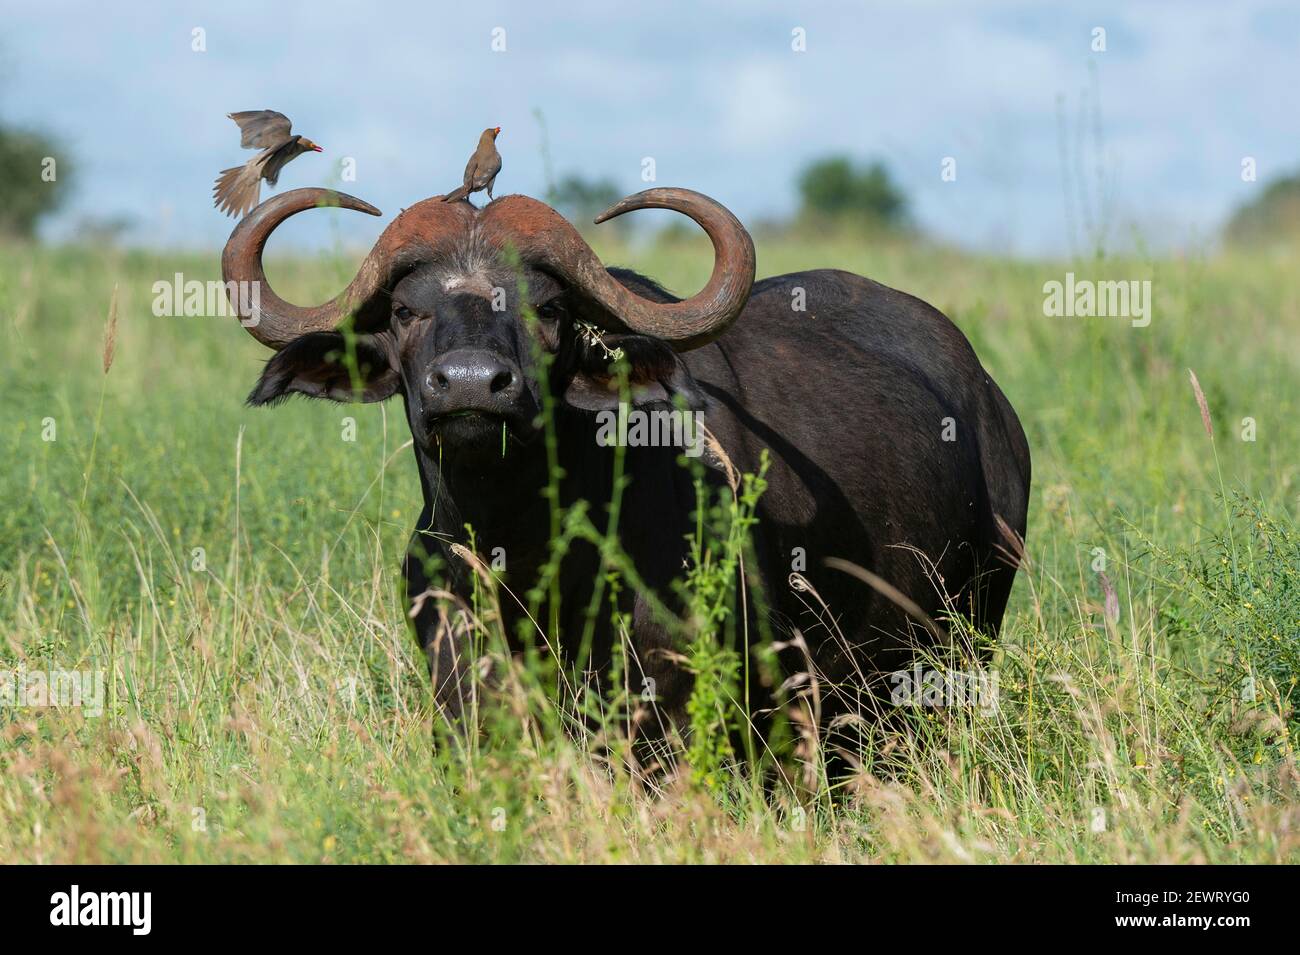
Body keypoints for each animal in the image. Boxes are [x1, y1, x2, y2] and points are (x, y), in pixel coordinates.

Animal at [226, 187, 1034, 738]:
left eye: (548, 309)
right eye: (403, 311)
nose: (471, 384)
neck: (527, 548)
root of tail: (992, 405)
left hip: (966, 634)